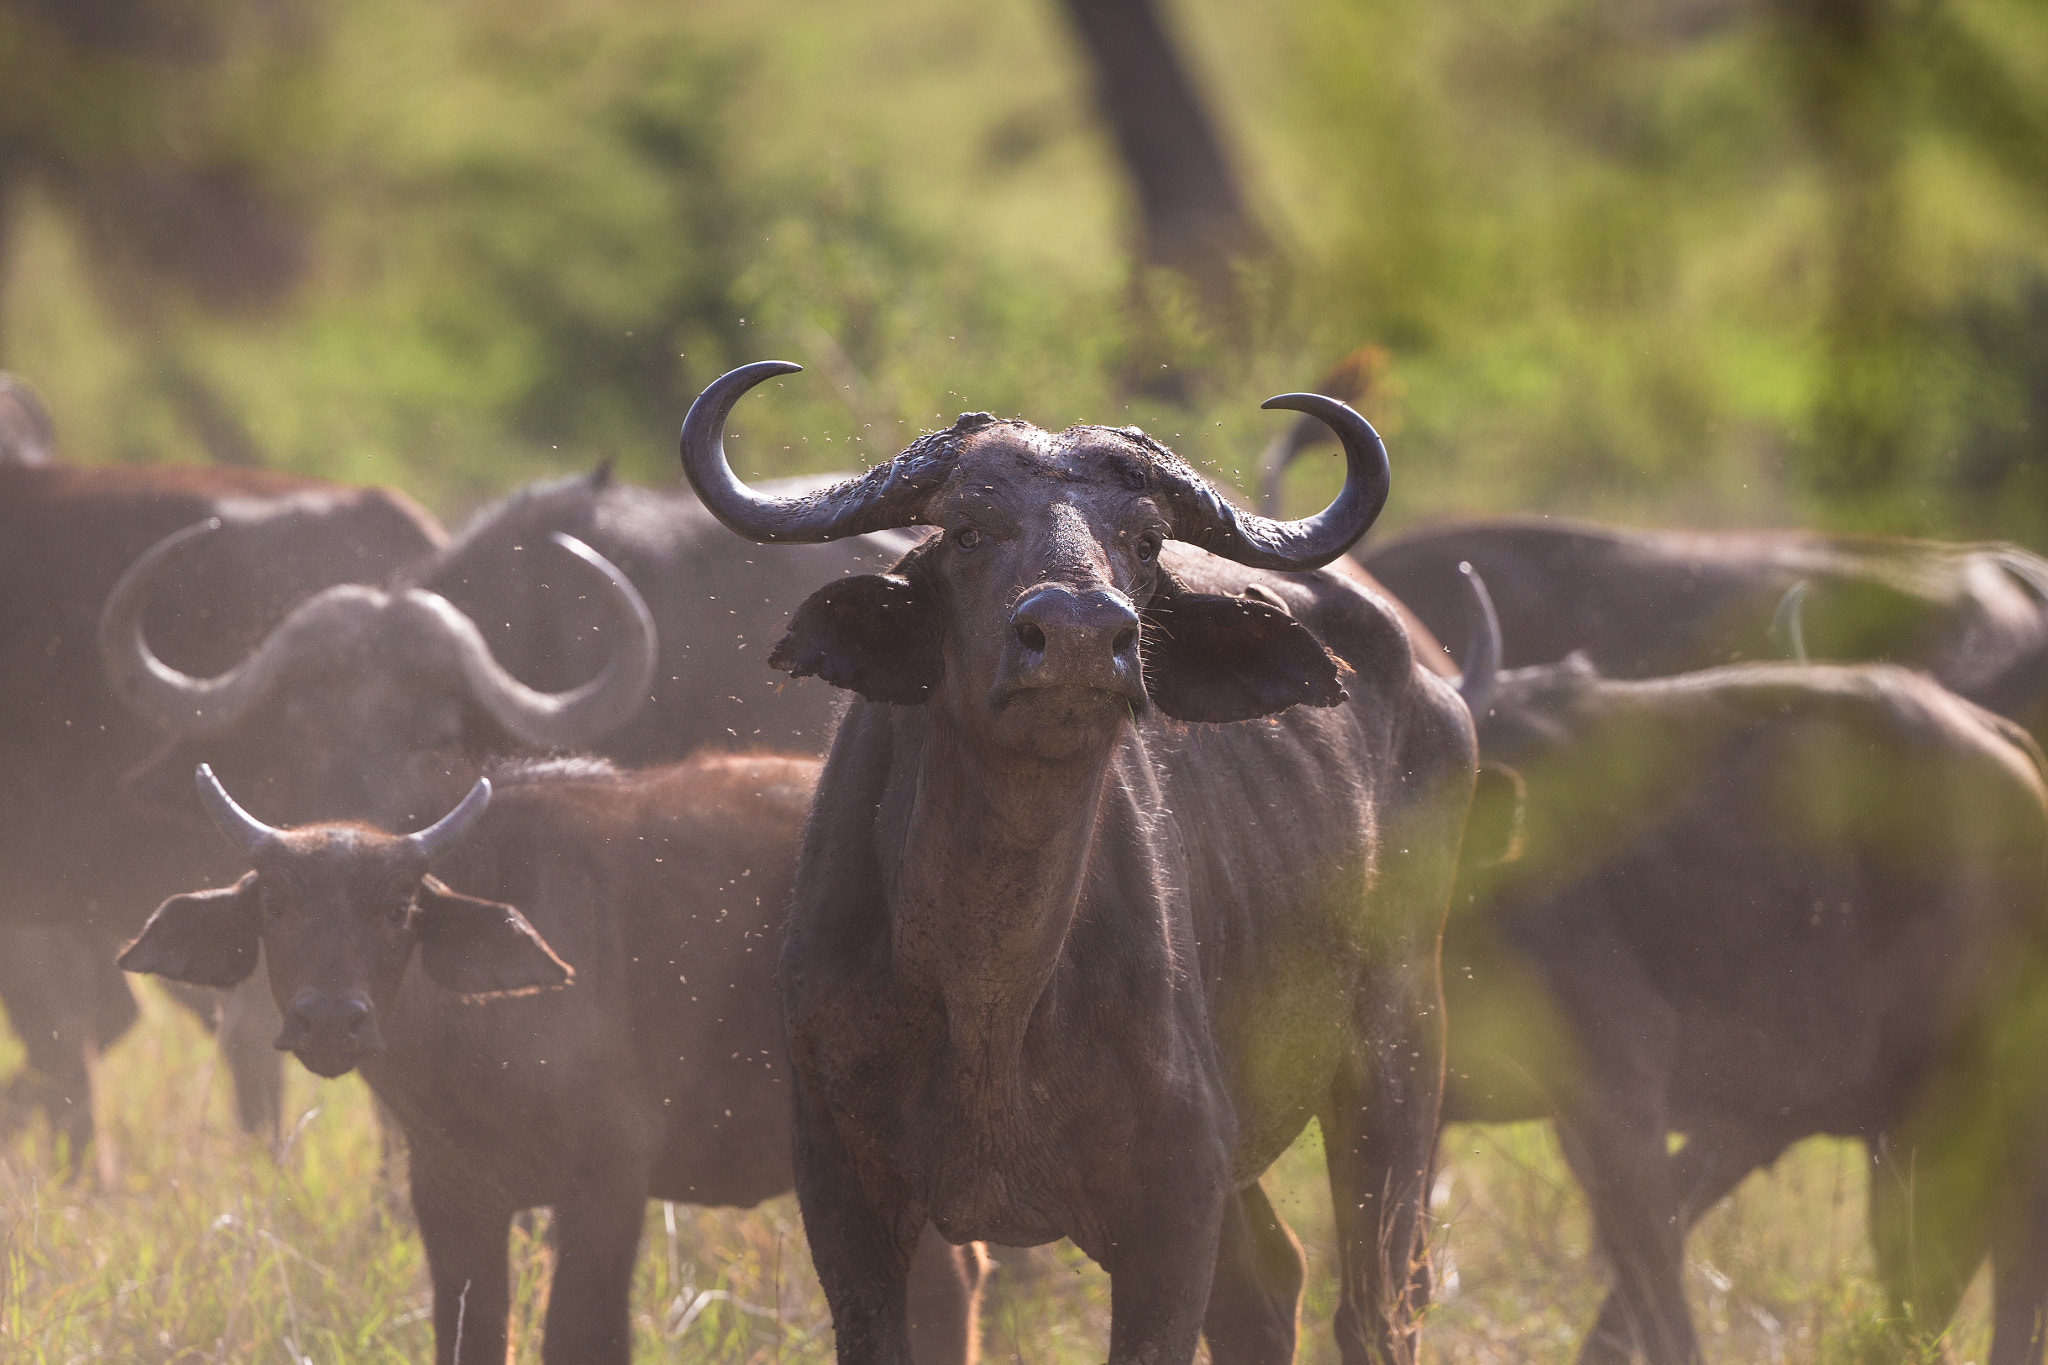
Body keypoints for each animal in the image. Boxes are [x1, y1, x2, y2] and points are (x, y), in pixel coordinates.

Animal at [121, 757, 983, 1365]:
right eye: (275, 903)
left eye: (398, 905)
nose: (331, 1018)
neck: (477, 1047)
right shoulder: (450, 1192)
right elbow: (469, 1337)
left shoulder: (609, 1183)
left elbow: (580, 1337)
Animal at [679, 360, 1482, 1365]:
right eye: (968, 530)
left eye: (1143, 540)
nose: (1077, 635)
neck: (988, 992)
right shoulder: (841, 1193)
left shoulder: (1173, 1202)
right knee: (1269, 1287)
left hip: (1400, 1045)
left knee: (1380, 1301)